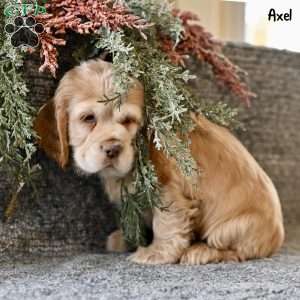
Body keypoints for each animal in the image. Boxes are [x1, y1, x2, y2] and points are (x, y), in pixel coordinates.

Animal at [35, 58, 284, 264]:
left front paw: (156, 253)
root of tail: (278, 237)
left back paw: (201, 252)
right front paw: (127, 239)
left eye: (128, 120)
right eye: (88, 118)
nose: (113, 148)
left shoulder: (168, 189)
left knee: (237, 251)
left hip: (229, 228)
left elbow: (166, 222)